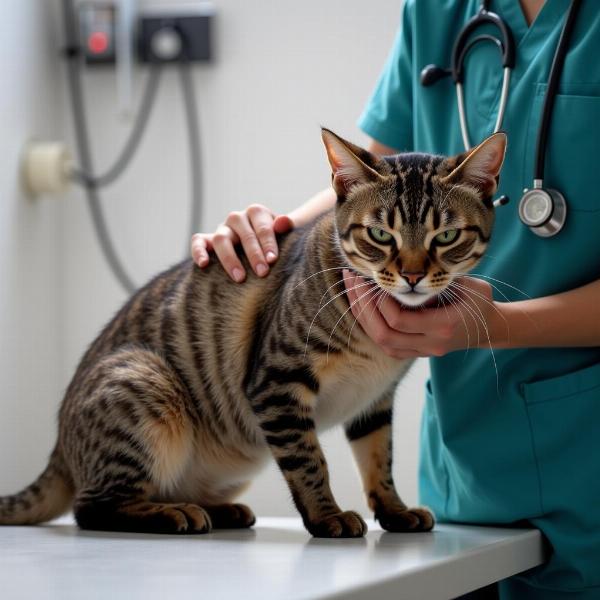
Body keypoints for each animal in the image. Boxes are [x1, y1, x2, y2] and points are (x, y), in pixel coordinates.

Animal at [0, 129, 506, 536]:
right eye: (381, 235)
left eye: (446, 237)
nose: (413, 276)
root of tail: (59, 446)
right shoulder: (277, 382)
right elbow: (310, 462)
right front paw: (327, 517)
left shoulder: (375, 401)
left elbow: (378, 461)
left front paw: (395, 510)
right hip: (144, 387)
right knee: (92, 508)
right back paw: (174, 514)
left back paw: (218, 510)